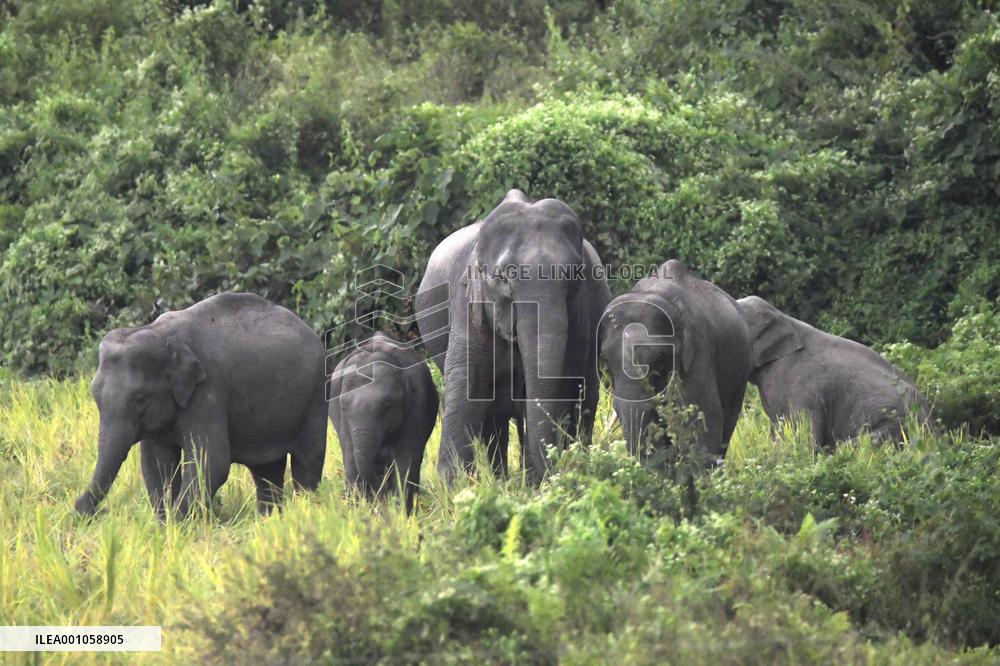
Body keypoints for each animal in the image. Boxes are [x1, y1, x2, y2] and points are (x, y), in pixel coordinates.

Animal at [75, 292, 327, 519]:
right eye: (95, 396)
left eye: (140, 398)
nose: (81, 509)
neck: (162, 333)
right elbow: (157, 463)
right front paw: (165, 525)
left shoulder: (208, 392)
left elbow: (211, 462)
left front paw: (178, 521)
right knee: (266, 470)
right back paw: (270, 519)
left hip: (314, 395)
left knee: (307, 461)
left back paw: (307, 510)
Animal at [327, 332, 438, 513]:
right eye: (343, 407)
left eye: (388, 405)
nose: (381, 491)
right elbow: (351, 461)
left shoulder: (417, 405)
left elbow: (405, 461)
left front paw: (400, 514)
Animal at [415, 189, 612, 484]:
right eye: (504, 278)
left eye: (574, 275)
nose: (555, 473)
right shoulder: (467, 305)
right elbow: (467, 380)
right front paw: (455, 486)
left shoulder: (582, 313)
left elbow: (562, 382)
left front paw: (536, 483)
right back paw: (500, 479)